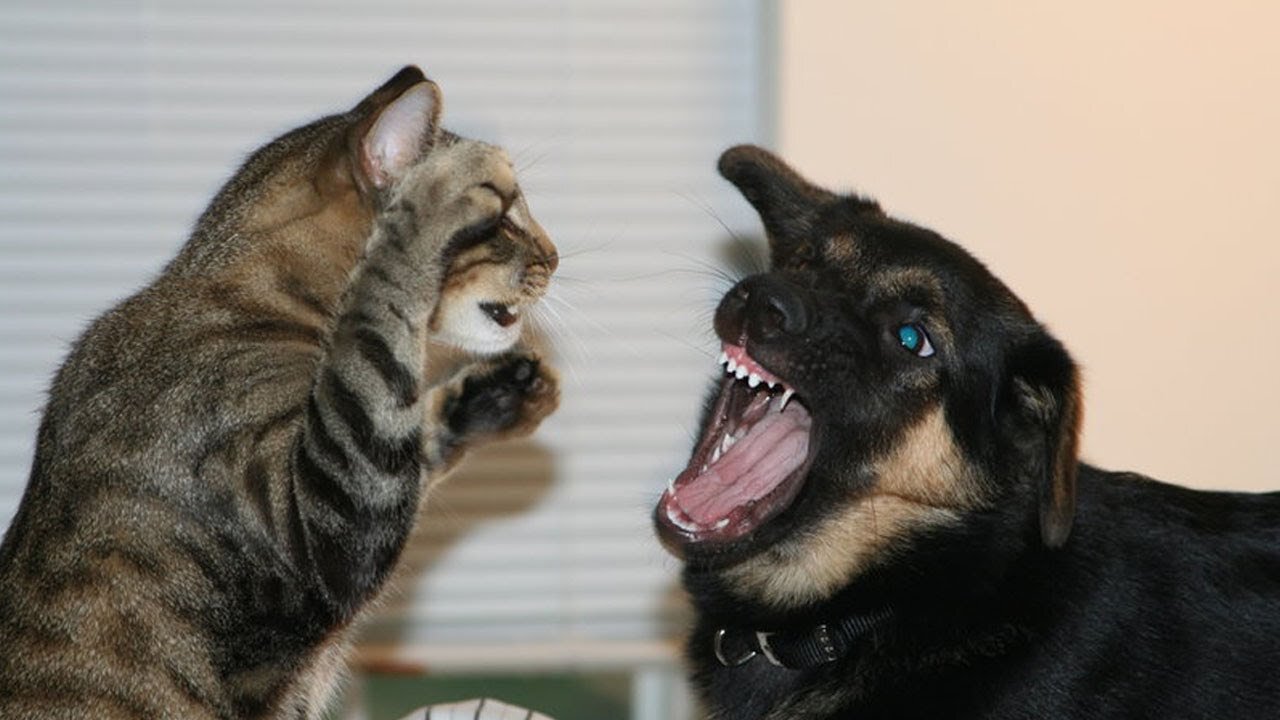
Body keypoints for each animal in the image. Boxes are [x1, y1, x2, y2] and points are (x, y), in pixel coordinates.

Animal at [0, 64, 560, 712]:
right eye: (505, 213)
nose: (555, 256)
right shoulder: (323, 511)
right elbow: (377, 351)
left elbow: (406, 421)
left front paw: (500, 392)